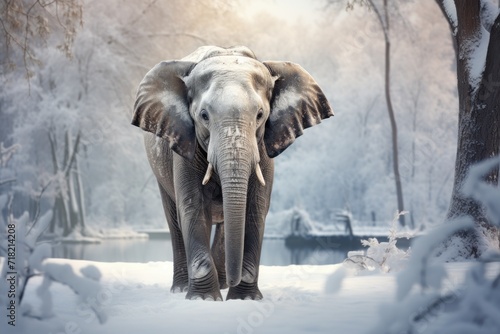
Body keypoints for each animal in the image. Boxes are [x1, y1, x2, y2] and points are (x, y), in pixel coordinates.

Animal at [132, 45, 332, 302]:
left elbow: (255, 207)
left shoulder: (263, 148)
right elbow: (192, 207)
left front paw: (243, 299)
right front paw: (204, 299)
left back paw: (223, 284)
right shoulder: (185, 145)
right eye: (204, 116)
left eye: (260, 115)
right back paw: (182, 288)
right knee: (174, 219)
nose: (236, 279)